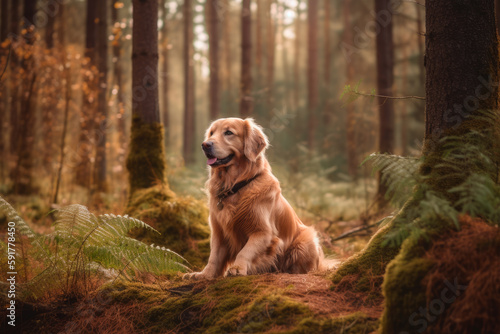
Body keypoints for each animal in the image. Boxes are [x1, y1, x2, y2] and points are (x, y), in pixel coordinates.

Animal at [184, 117, 324, 280]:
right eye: (212, 133)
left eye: (228, 132)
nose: (205, 144)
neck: (235, 186)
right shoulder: (218, 231)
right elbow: (214, 256)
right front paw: (204, 274)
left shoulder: (263, 232)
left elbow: (246, 250)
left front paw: (237, 268)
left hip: (307, 240)